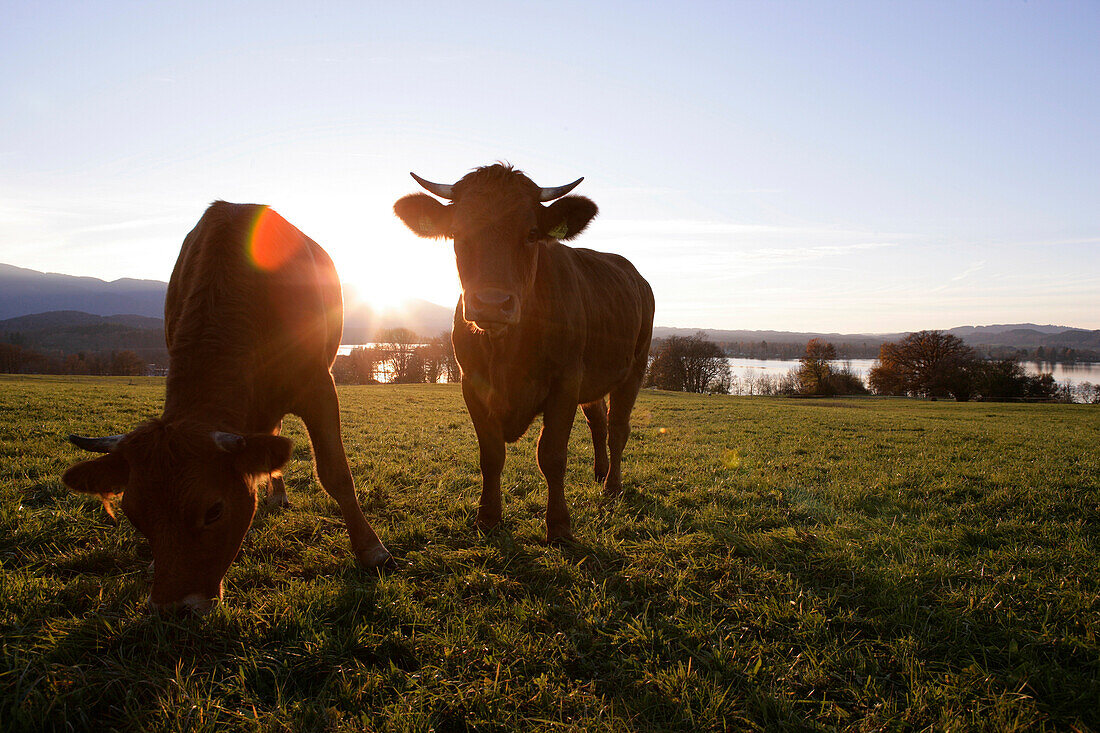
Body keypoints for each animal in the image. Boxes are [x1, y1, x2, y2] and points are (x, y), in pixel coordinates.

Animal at [62, 201, 393, 611]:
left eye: (214, 510)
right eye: (134, 515)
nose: (171, 610)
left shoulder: (318, 384)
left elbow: (335, 473)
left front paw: (372, 551)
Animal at [396, 165, 651, 541]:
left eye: (531, 234)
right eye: (457, 231)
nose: (491, 303)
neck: (506, 350)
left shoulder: (565, 382)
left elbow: (552, 455)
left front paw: (559, 525)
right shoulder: (471, 382)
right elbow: (491, 455)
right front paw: (488, 516)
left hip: (635, 367)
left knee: (618, 427)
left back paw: (612, 487)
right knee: (599, 422)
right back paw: (600, 473)